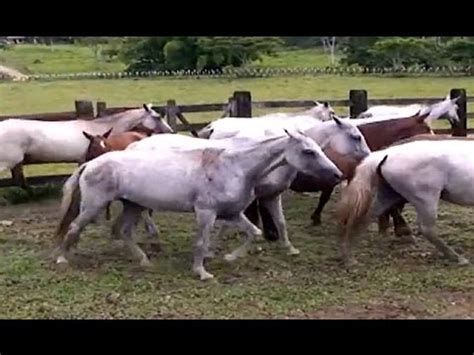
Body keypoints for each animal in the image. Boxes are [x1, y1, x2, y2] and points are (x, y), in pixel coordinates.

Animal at [338, 139, 472, 268]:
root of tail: (384, 154)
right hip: (426, 199)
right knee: (427, 229)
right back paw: (457, 258)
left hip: (388, 195)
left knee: (364, 219)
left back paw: (349, 259)